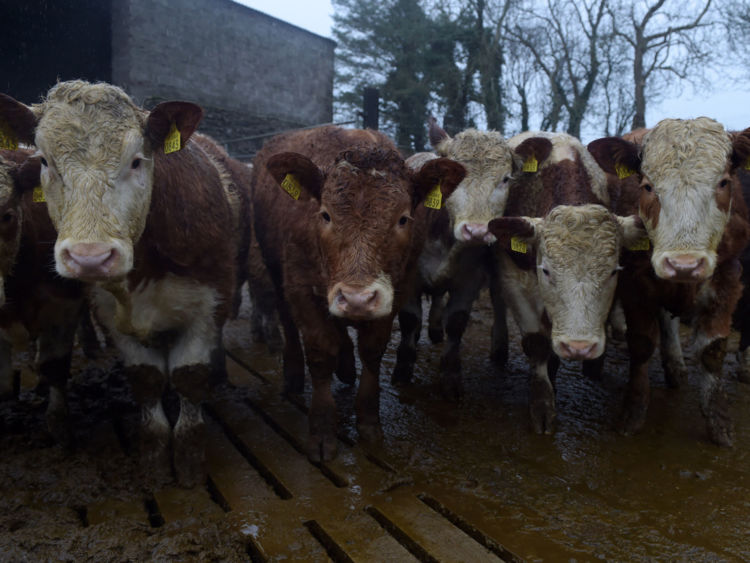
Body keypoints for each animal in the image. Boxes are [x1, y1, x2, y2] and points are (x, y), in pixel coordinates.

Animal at [251, 125, 465, 461]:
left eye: (403, 218)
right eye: (325, 215)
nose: (357, 298)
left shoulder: (395, 292)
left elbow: (372, 351)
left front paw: (368, 421)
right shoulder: (301, 289)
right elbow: (321, 353)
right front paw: (322, 428)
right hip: (275, 270)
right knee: (288, 322)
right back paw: (295, 375)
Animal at [391, 119, 516, 398]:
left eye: (505, 179)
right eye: (454, 178)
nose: (477, 231)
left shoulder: (469, 279)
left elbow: (457, 322)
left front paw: (450, 377)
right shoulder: (409, 277)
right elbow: (409, 319)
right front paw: (403, 370)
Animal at [487, 131, 645, 433]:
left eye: (613, 271)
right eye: (547, 271)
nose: (579, 347)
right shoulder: (513, 277)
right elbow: (536, 342)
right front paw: (542, 404)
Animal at [588, 117, 750, 446]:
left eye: (724, 182)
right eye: (648, 186)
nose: (683, 264)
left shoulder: (728, 276)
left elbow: (712, 349)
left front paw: (719, 422)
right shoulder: (635, 282)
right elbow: (641, 344)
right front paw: (633, 411)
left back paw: (676, 365)